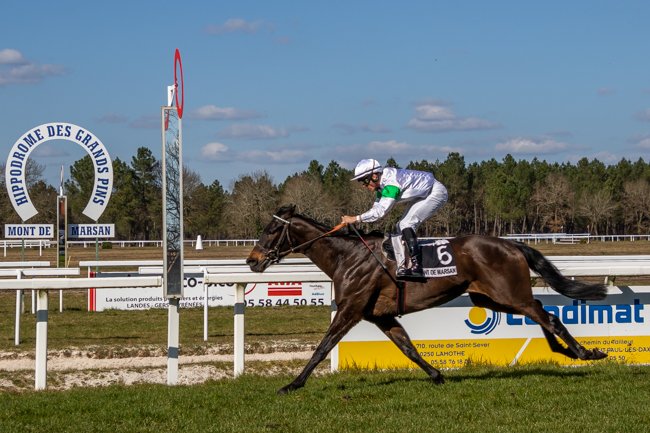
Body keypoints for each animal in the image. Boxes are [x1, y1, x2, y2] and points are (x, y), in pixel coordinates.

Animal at [246, 205, 608, 394]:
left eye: (270, 230)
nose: (251, 260)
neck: (346, 257)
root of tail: (511, 244)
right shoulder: (380, 315)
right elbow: (407, 347)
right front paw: (437, 375)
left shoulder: (350, 309)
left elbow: (322, 347)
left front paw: (293, 384)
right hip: (489, 298)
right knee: (541, 313)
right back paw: (565, 351)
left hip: (508, 293)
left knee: (547, 316)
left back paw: (584, 352)